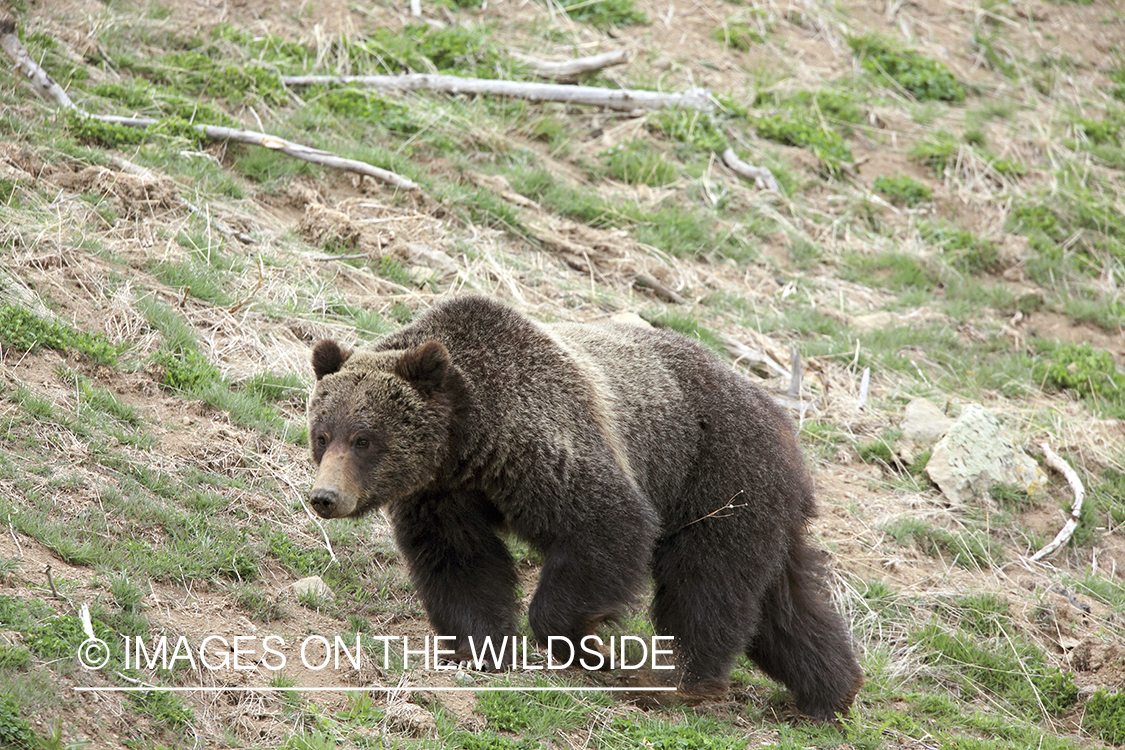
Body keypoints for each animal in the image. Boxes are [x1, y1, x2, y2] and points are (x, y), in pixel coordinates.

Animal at [306, 296, 859, 719]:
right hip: (762, 507)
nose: (325, 497)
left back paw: (683, 680)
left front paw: (582, 642)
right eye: (322, 435)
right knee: (784, 605)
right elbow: (460, 562)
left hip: (718, 477)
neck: (469, 443)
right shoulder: (443, 495)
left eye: (364, 439)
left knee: (706, 582)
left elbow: (606, 525)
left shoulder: (548, 444)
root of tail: (781, 420)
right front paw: (477, 646)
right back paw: (828, 691)